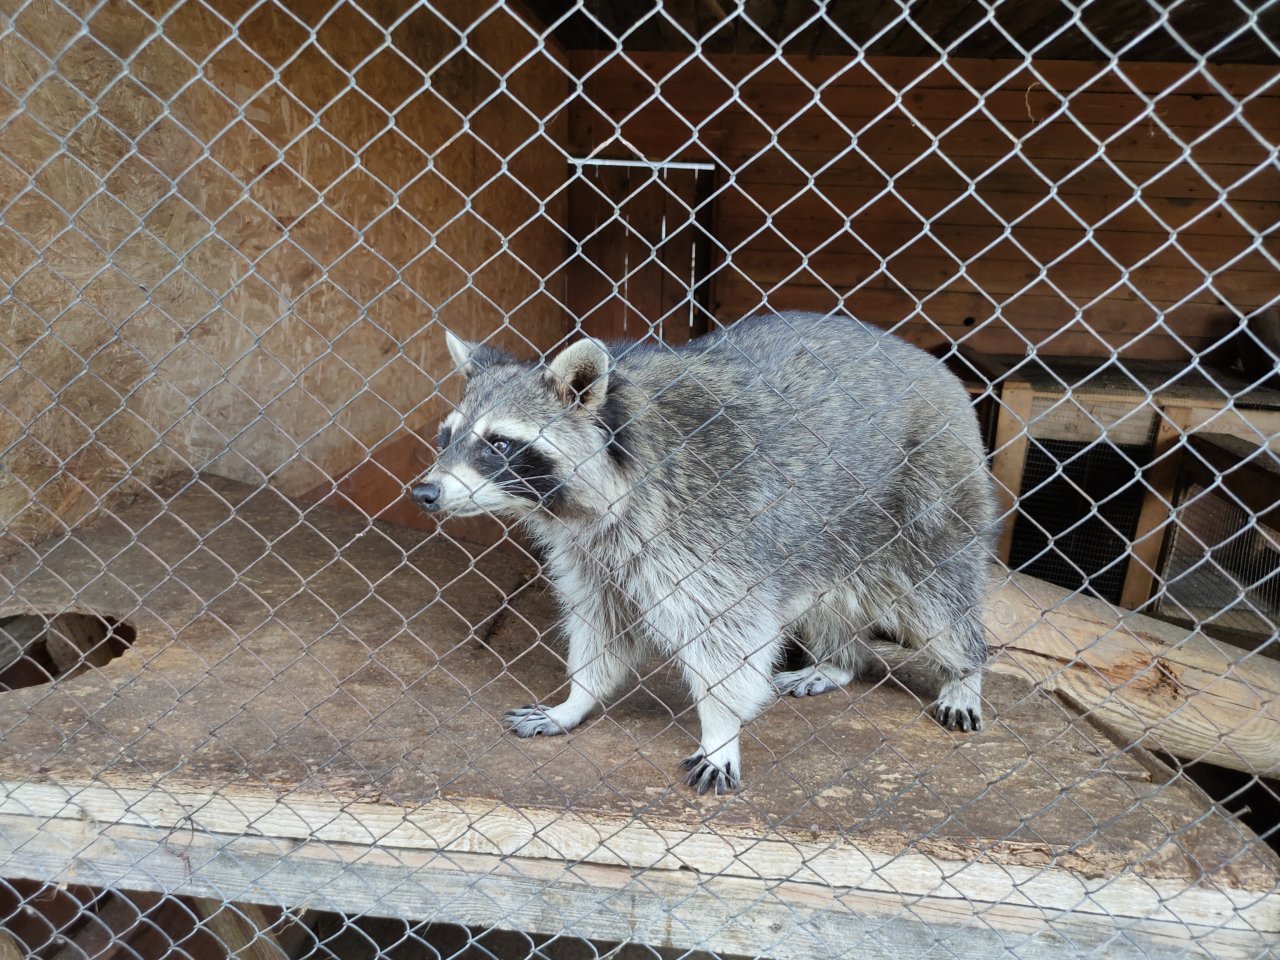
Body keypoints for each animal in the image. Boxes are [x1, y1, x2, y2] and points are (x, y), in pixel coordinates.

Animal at [414, 313, 993, 798]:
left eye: (499, 444)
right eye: (446, 437)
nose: (425, 492)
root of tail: (930, 362)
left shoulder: (709, 527)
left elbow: (727, 638)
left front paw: (720, 728)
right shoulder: (595, 552)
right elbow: (604, 623)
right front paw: (577, 698)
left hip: (932, 491)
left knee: (941, 597)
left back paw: (965, 668)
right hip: (831, 536)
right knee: (831, 596)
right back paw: (839, 660)